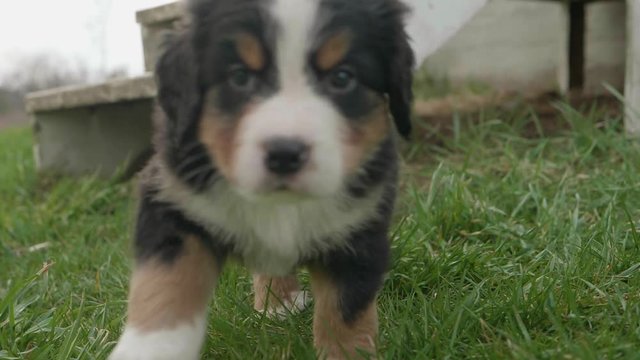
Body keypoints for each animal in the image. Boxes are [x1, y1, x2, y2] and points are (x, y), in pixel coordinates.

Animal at [110, 0, 416, 358]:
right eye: (240, 76)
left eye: (342, 77)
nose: (285, 154)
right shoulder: (173, 200)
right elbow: (166, 284)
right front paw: (152, 349)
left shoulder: (359, 229)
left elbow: (346, 313)